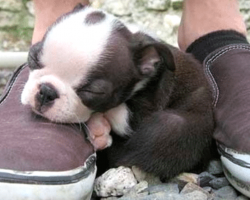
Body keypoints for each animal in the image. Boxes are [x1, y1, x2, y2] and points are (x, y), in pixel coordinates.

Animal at [21, 4, 215, 180]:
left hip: (173, 125)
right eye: (33, 58)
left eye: (92, 91)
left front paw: (98, 126)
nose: (46, 92)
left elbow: (118, 113)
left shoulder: (149, 105)